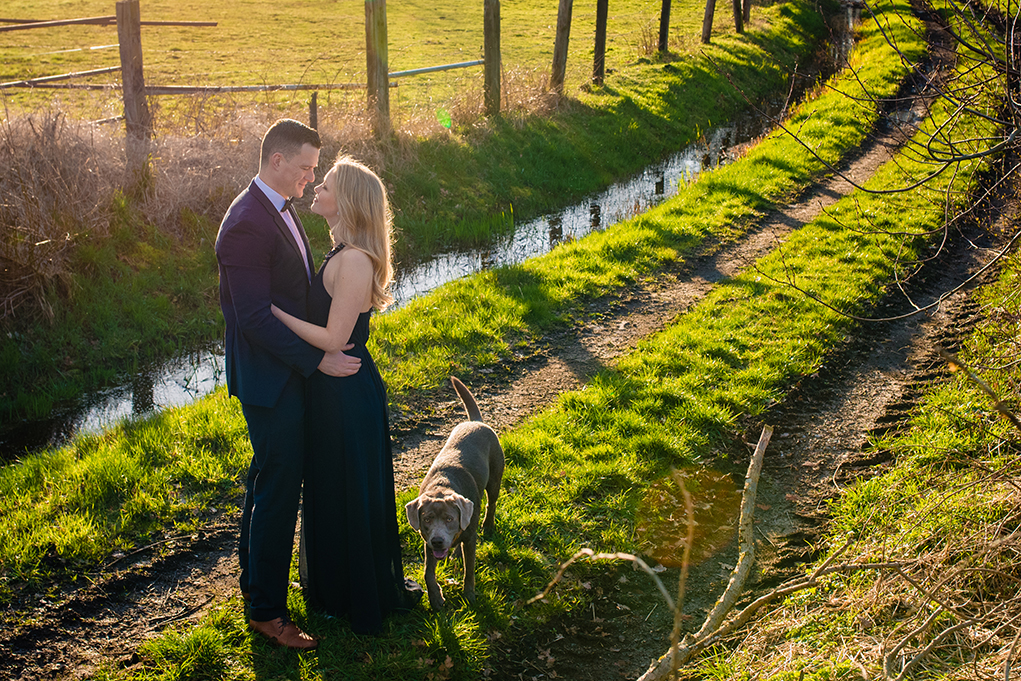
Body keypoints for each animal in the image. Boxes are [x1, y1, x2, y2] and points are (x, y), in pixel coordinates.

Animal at [404, 375, 504, 608]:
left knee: (491, 503)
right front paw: (436, 599)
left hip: (495, 479)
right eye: (427, 519)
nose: (438, 541)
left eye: (449, 519)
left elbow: (470, 570)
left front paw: (469, 595)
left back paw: (488, 526)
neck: (442, 488)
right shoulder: (427, 543)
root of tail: (476, 422)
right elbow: (427, 573)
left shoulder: (470, 539)